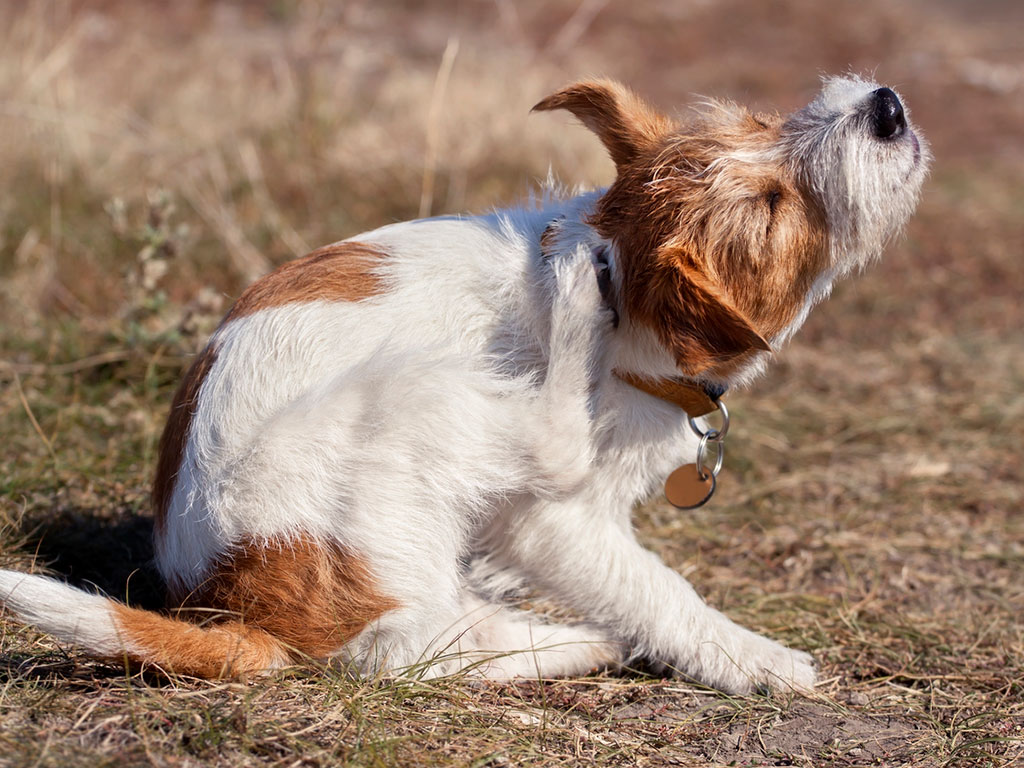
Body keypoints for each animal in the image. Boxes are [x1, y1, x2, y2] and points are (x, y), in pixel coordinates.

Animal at [0, 75, 929, 696]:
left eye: (762, 121)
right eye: (772, 206)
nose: (886, 105)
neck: (630, 299)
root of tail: (238, 607)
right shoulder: (555, 522)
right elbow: (656, 587)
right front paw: (756, 659)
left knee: (438, 635)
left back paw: (568, 638)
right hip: (415, 393)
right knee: (401, 646)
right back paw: (570, 298)